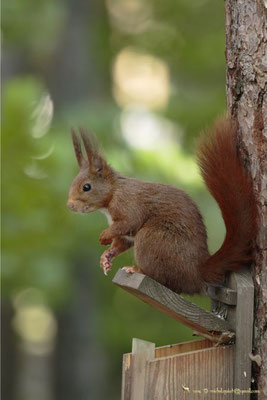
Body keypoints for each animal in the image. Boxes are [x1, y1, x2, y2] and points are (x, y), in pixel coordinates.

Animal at [68, 119, 258, 294]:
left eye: (86, 187)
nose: (70, 205)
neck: (113, 193)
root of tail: (196, 272)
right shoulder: (124, 234)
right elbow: (121, 243)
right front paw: (106, 258)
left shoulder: (129, 203)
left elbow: (129, 221)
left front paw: (104, 236)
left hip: (152, 239)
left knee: (167, 281)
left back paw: (138, 269)